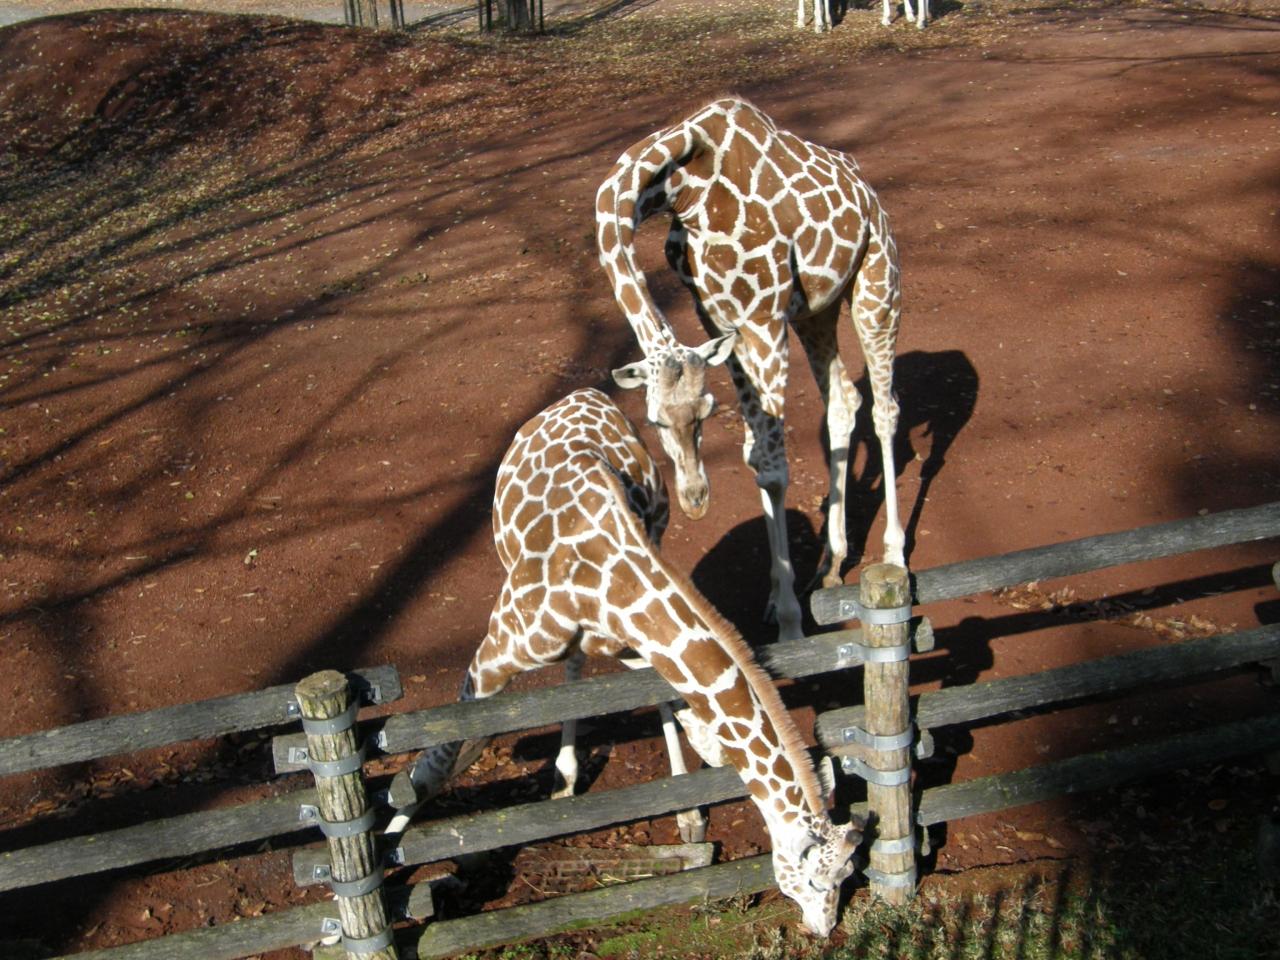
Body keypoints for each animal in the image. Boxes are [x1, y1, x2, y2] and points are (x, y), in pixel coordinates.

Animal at [388, 389, 863, 935]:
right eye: (814, 880)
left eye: (846, 873)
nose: (825, 928)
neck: (608, 585)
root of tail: (584, 394)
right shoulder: (492, 656)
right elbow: (435, 765)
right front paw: (383, 872)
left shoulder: (623, 639)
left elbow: (666, 694)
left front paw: (695, 791)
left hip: (651, 538)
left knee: (585, 670)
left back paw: (593, 784)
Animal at [595, 97, 904, 643]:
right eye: (654, 421)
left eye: (705, 413)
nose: (695, 500)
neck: (686, 190)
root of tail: (867, 189)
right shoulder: (721, 321)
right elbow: (754, 455)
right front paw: (775, 599)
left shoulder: (762, 318)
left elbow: (774, 468)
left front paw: (790, 625)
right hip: (816, 311)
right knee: (843, 402)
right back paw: (830, 563)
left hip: (875, 284)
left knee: (885, 409)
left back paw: (895, 555)